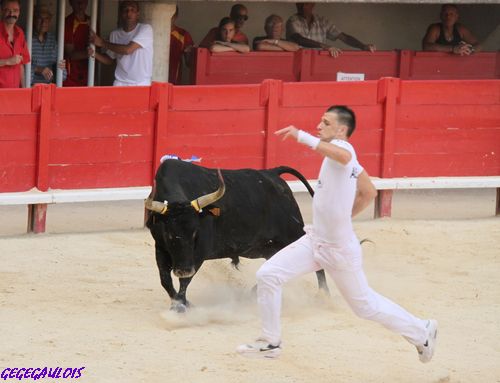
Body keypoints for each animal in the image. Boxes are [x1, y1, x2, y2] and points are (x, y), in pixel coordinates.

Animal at [146, 159, 328, 312]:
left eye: (195, 232)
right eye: (168, 233)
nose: (183, 270)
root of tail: (273, 173)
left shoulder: (199, 253)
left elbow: (184, 282)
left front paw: (180, 307)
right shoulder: (160, 248)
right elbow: (165, 280)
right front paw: (181, 304)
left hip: (294, 233)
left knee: (316, 259)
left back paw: (324, 295)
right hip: (266, 248)